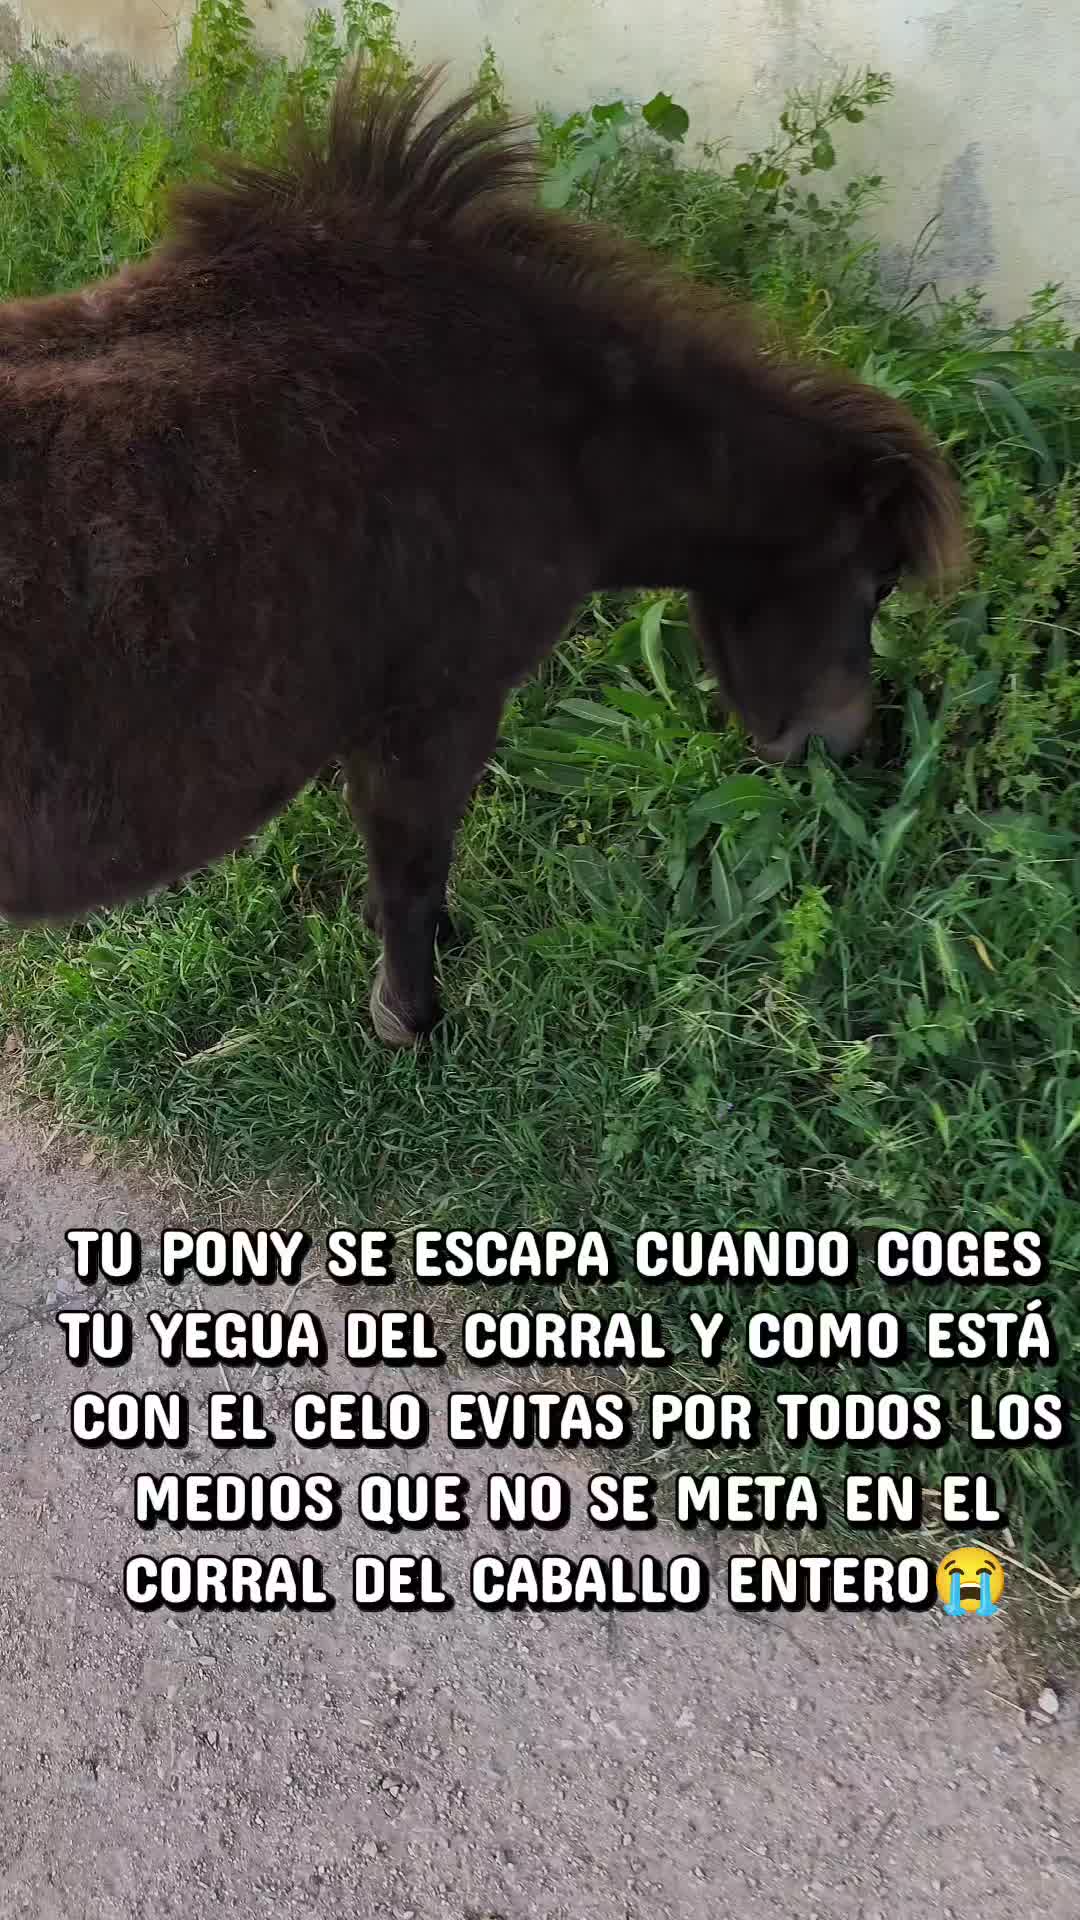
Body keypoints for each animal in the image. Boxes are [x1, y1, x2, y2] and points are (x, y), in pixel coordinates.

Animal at [0, 61, 965, 1047]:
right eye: (881, 581)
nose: (843, 745)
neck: (548, 427)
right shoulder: (439, 709)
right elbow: (413, 873)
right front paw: (410, 1018)